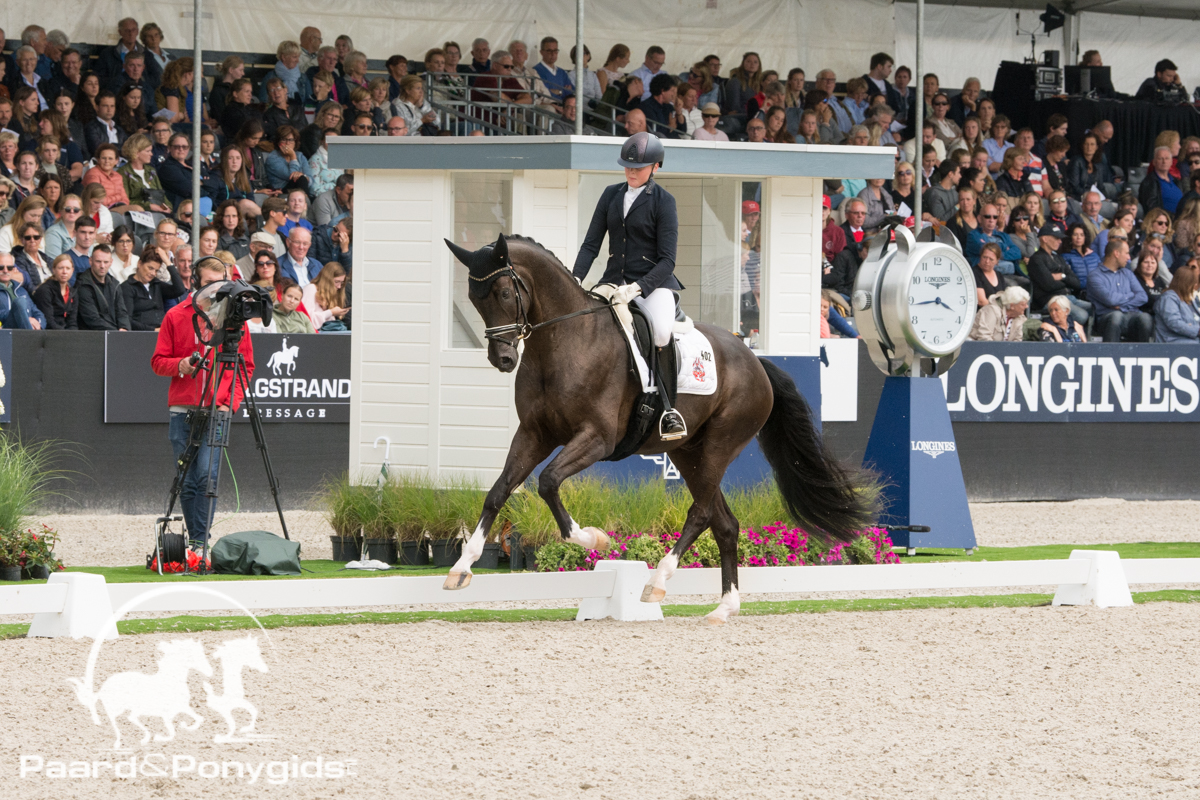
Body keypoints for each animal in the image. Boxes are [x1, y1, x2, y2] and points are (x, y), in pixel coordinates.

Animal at [443, 234, 876, 624]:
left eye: (502, 293)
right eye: (475, 299)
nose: (502, 358)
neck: (563, 341)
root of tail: (755, 361)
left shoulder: (597, 439)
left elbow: (548, 482)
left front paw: (594, 538)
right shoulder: (534, 434)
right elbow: (498, 491)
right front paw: (462, 567)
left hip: (720, 444)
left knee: (701, 513)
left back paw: (658, 581)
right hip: (688, 453)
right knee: (725, 523)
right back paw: (724, 608)